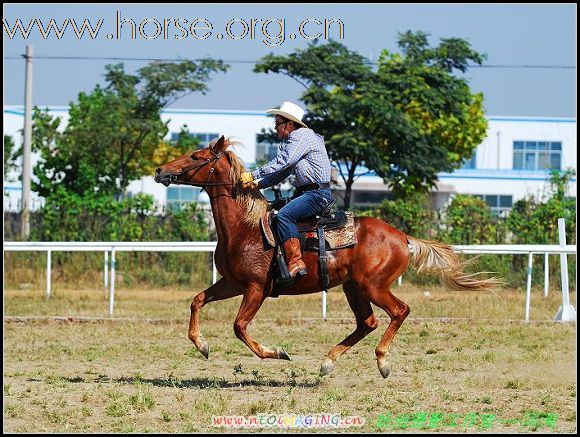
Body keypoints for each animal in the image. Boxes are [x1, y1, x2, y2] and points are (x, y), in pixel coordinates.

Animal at [154, 135, 498, 376]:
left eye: (196, 156)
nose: (160, 170)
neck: (246, 227)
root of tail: (402, 237)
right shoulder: (232, 283)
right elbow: (197, 300)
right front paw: (202, 345)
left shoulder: (255, 288)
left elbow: (239, 327)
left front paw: (277, 352)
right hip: (352, 288)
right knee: (367, 323)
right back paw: (328, 362)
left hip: (373, 286)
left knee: (399, 311)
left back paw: (382, 361)